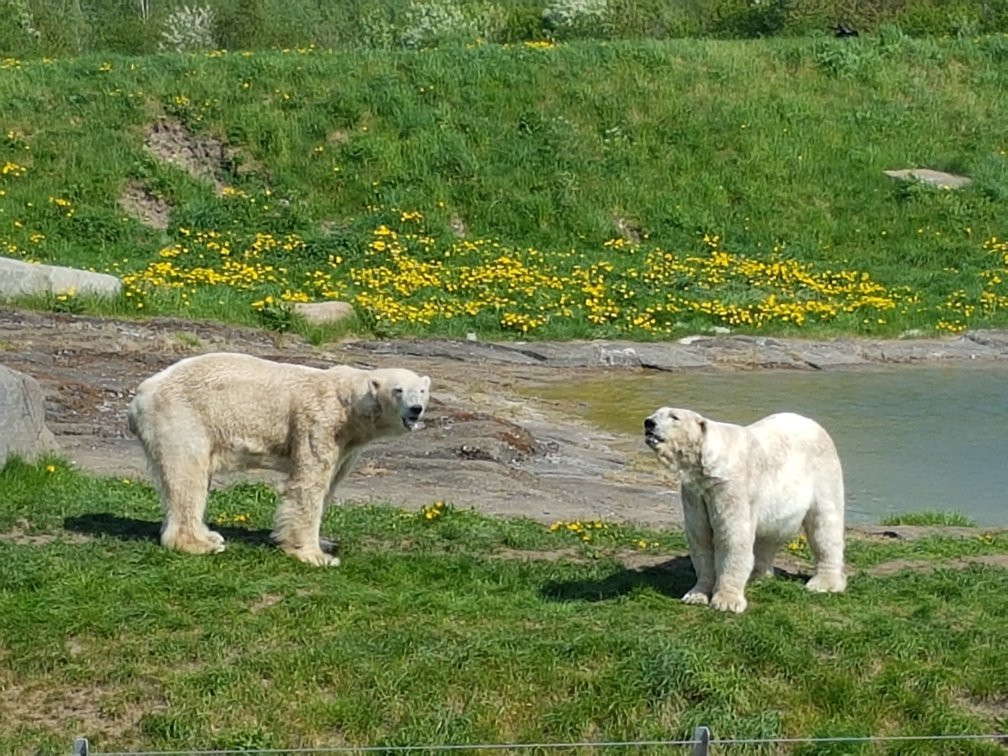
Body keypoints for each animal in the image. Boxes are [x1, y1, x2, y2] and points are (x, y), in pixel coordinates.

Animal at [126, 354, 429, 568]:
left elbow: (330, 483)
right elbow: (307, 485)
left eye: (422, 391)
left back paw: (209, 534)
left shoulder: (347, 445)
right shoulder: (319, 422)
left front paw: (326, 543)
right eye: (398, 390)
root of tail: (140, 395)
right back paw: (199, 544)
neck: (348, 404)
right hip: (183, 417)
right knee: (188, 475)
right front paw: (316, 556)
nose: (416, 409)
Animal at [641, 409, 846, 616]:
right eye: (656, 413)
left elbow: (732, 537)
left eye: (674, 416)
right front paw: (695, 596)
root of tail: (813, 423)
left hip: (822, 472)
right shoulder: (695, 492)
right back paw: (758, 576)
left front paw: (726, 602)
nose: (649, 423)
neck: (710, 462)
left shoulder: (731, 486)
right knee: (769, 536)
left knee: (825, 524)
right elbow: (701, 538)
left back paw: (824, 583)